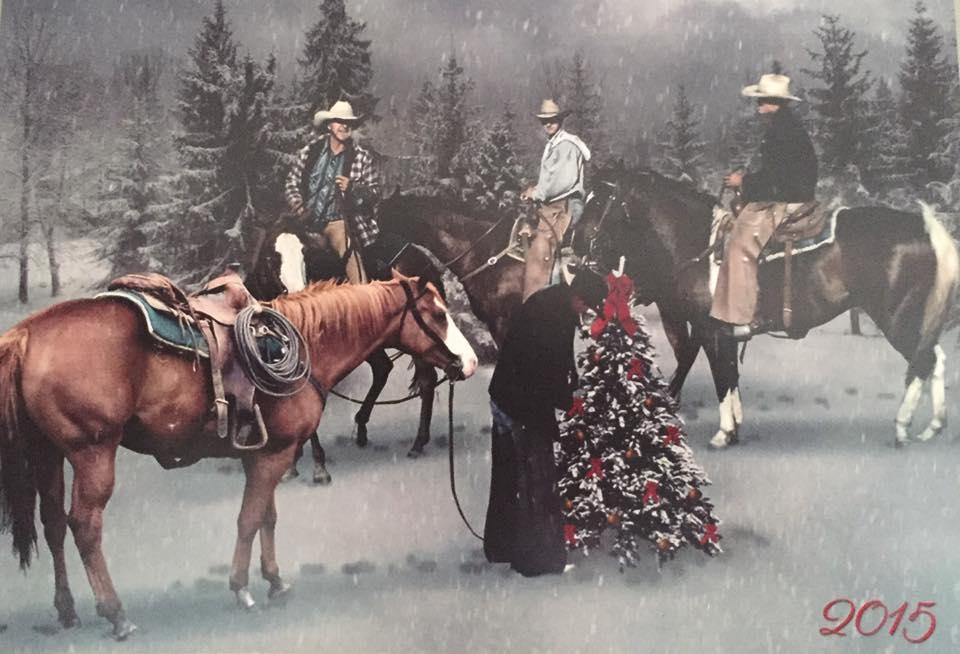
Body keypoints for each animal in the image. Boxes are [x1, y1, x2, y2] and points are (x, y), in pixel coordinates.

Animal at [0, 276, 478, 640]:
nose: (471, 361)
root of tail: (26, 335)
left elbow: (267, 517)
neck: (305, 343)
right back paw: (116, 614)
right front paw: (242, 588)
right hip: (92, 452)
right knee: (84, 526)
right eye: (437, 314)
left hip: (49, 453)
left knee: (54, 525)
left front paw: (275, 580)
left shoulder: (267, 453)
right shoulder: (275, 455)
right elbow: (248, 519)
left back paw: (67, 610)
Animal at [572, 170, 956, 452]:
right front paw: (734, 428)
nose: (575, 246)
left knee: (923, 361)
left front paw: (723, 433)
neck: (700, 245)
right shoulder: (722, 334)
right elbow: (729, 377)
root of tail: (923, 228)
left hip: (896, 317)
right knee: (935, 358)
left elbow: (721, 378)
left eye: (599, 200)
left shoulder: (710, 331)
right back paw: (933, 426)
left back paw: (903, 429)